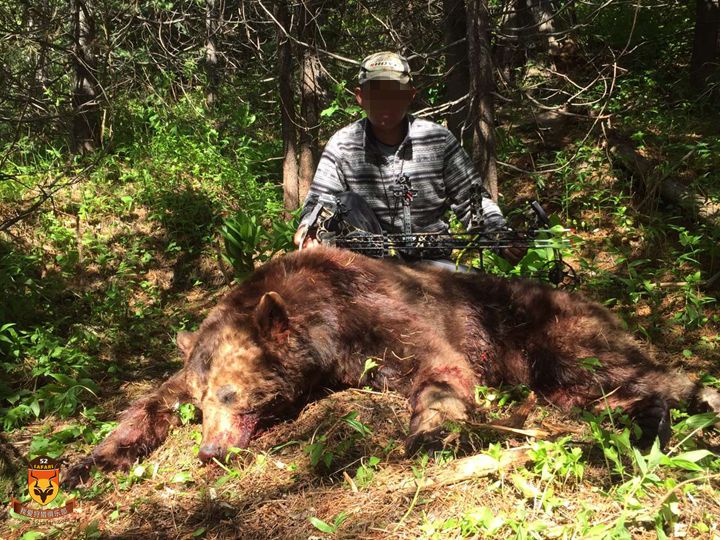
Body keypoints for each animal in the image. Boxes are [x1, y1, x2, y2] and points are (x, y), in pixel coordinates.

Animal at [63, 245, 720, 486]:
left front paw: (427, 432)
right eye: (200, 405)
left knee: (611, 367)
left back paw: (670, 411)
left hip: (546, 330)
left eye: (229, 395)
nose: (210, 452)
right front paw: (84, 463)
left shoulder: (376, 311)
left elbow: (437, 364)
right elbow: (149, 400)